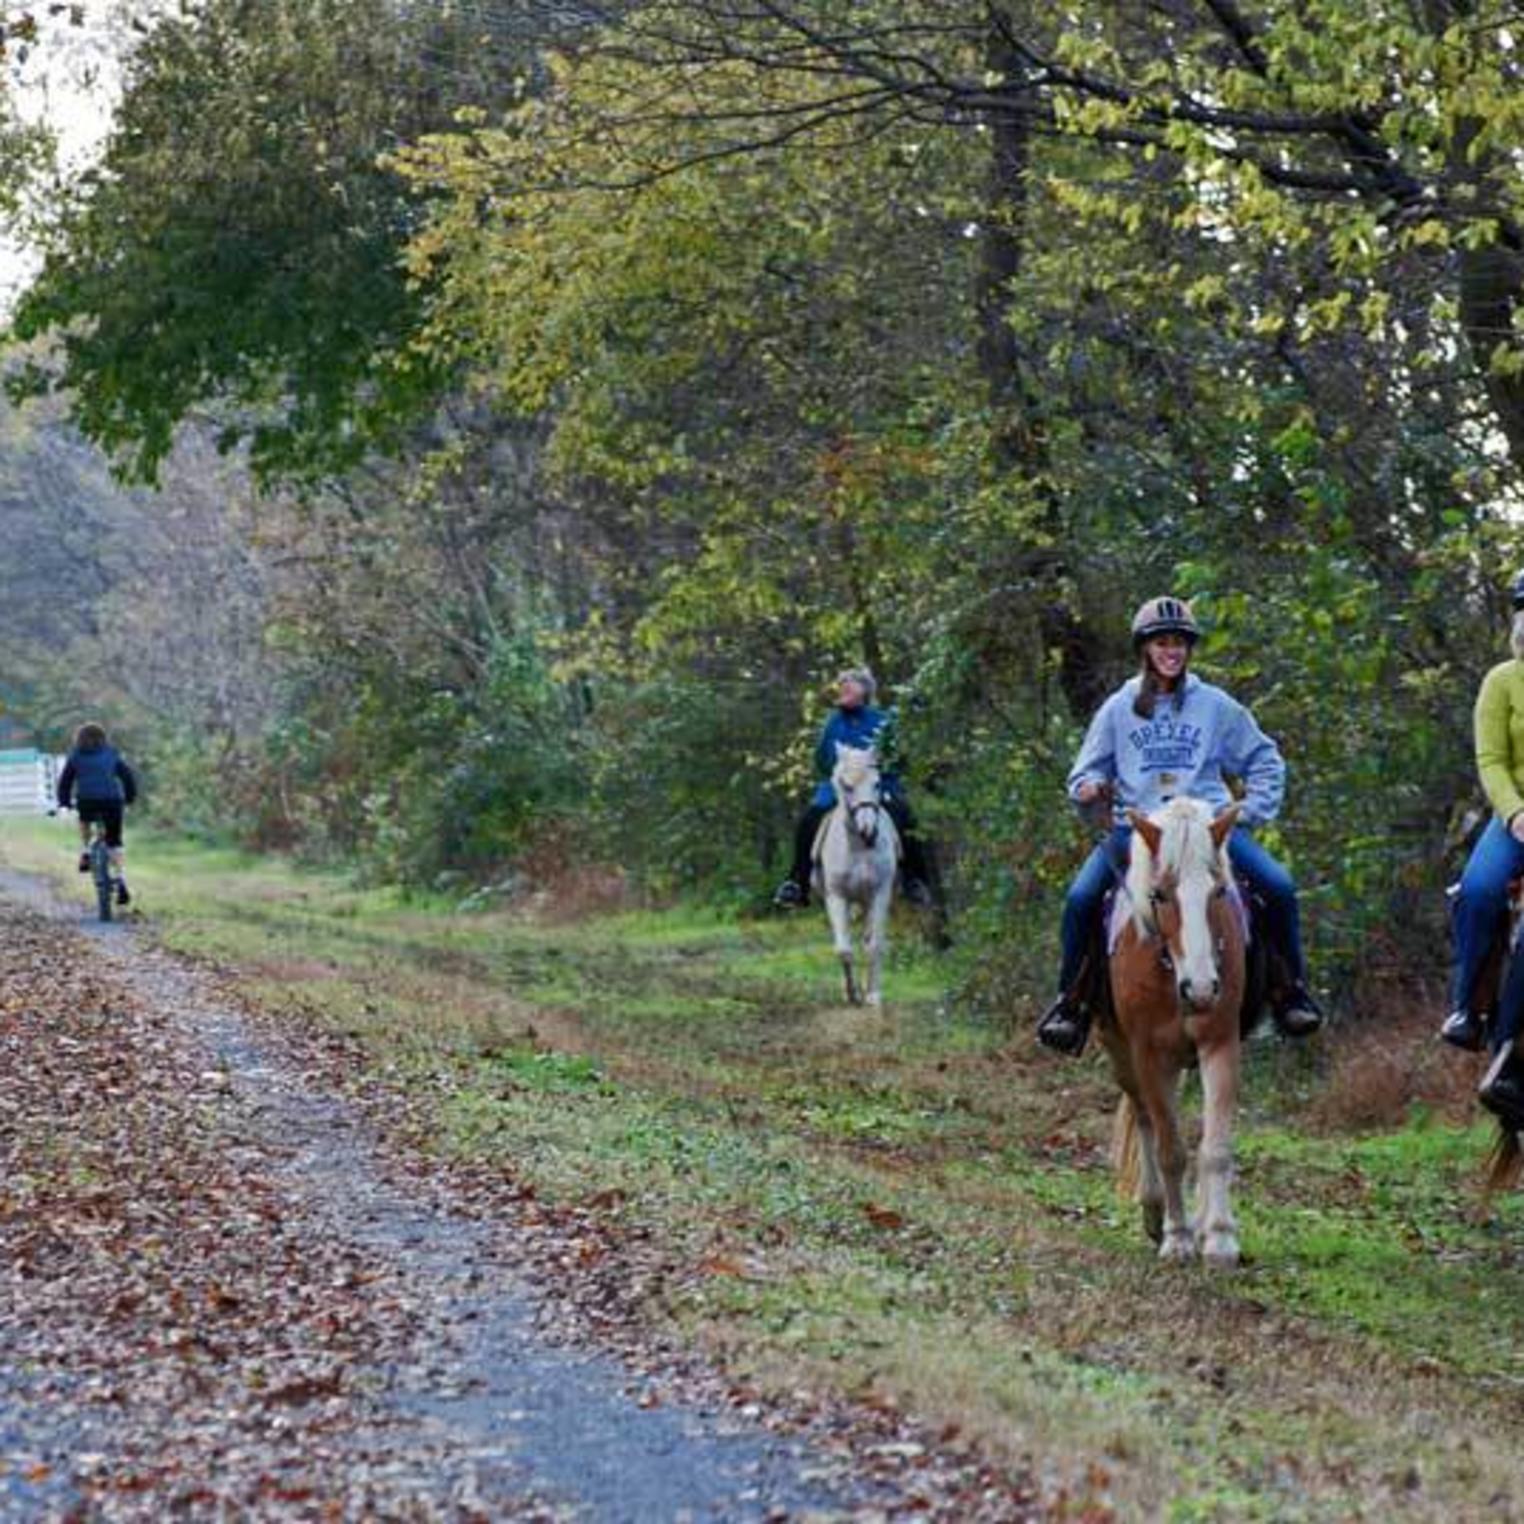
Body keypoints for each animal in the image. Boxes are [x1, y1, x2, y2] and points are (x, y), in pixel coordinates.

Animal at [816, 743, 896, 1005]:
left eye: (877, 783)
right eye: (846, 786)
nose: (869, 830)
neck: (859, 848)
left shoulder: (880, 894)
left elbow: (874, 945)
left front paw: (872, 993)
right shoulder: (836, 896)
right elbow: (843, 948)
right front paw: (851, 993)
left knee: (867, 939)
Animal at [1109, 792, 1249, 1267]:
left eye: (1219, 891)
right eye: (1160, 894)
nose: (1202, 989)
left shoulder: (1220, 1043)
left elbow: (1216, 1146)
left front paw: (1220, 1237)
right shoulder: (1149, 1054)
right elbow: (1169, 1148)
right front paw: (1177, 1238)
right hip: (1121, 1055)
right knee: (1143, 1116)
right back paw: (1155, 1212)